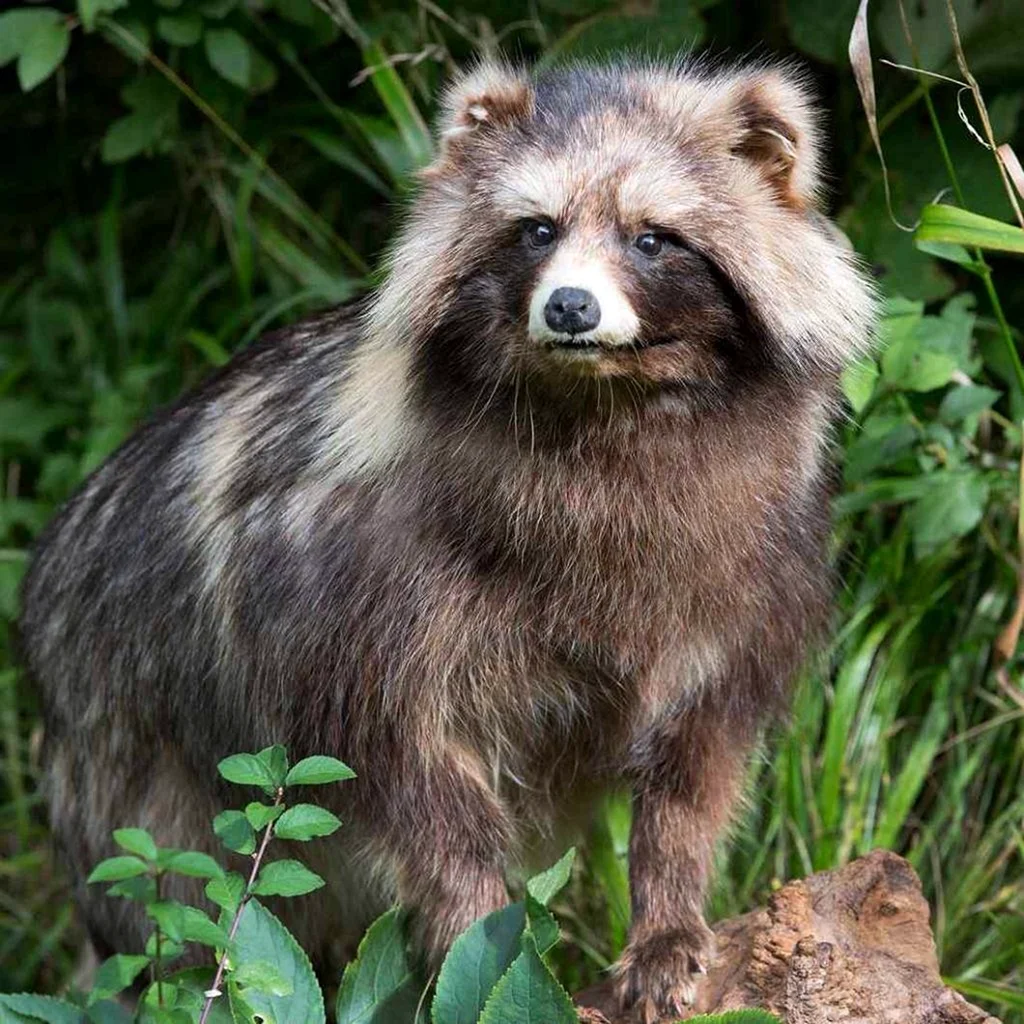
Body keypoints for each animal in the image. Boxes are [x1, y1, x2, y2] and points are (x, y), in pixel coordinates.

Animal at [19, 59, 876, 1019]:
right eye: (536, 230)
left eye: (653, 238)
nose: (570, 306)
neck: (602, 406)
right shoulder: (360, 591)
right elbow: (419, 790)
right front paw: (479, 930)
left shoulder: (743, 576)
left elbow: (697, 765)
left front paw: (668, 914)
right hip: (129, 762)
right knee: (165, 909)